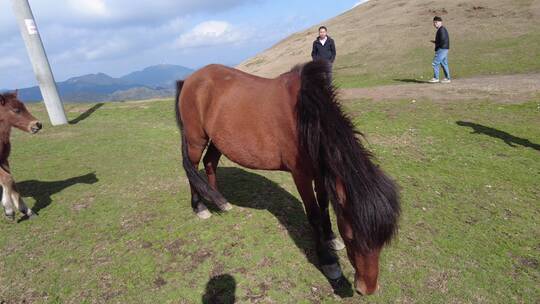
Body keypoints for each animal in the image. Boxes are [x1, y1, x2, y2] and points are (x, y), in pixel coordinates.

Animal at [0, 91, 42, 220]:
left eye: (25, 107)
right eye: (16, 110)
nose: (38, 125)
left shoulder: (4, 159)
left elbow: (11, 181)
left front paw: (27, 210)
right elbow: (7, 179)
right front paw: (9, 210)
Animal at [175, 60, 398, 296]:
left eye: (383, 239)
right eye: (351, 236)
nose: (367, 288)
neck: (305, 117)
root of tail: (190, 80)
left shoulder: (319, 172)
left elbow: (324, 206)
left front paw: (330, 238)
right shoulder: (301, 175)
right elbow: (314, 214)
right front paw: (328, 261)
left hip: (218, 139)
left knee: (210, 163)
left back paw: (220, 202)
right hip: (195, 139)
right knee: (192, 168)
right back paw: (200, 207)